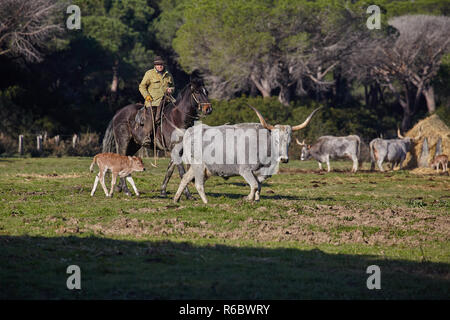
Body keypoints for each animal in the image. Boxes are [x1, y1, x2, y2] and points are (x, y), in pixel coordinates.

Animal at [171, 106, 322, 204]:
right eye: (276, 140)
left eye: (289, 141)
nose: (284, 159)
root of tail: (191, 130)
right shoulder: (245, 170)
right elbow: (254, 185)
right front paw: (248, 198)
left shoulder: (259, 173)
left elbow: (258, 186)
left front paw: (256, 199)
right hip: (199, 166)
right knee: (198, 184)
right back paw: (206, 201)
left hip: (196, 167)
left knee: (185, 178)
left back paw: (176, 199)